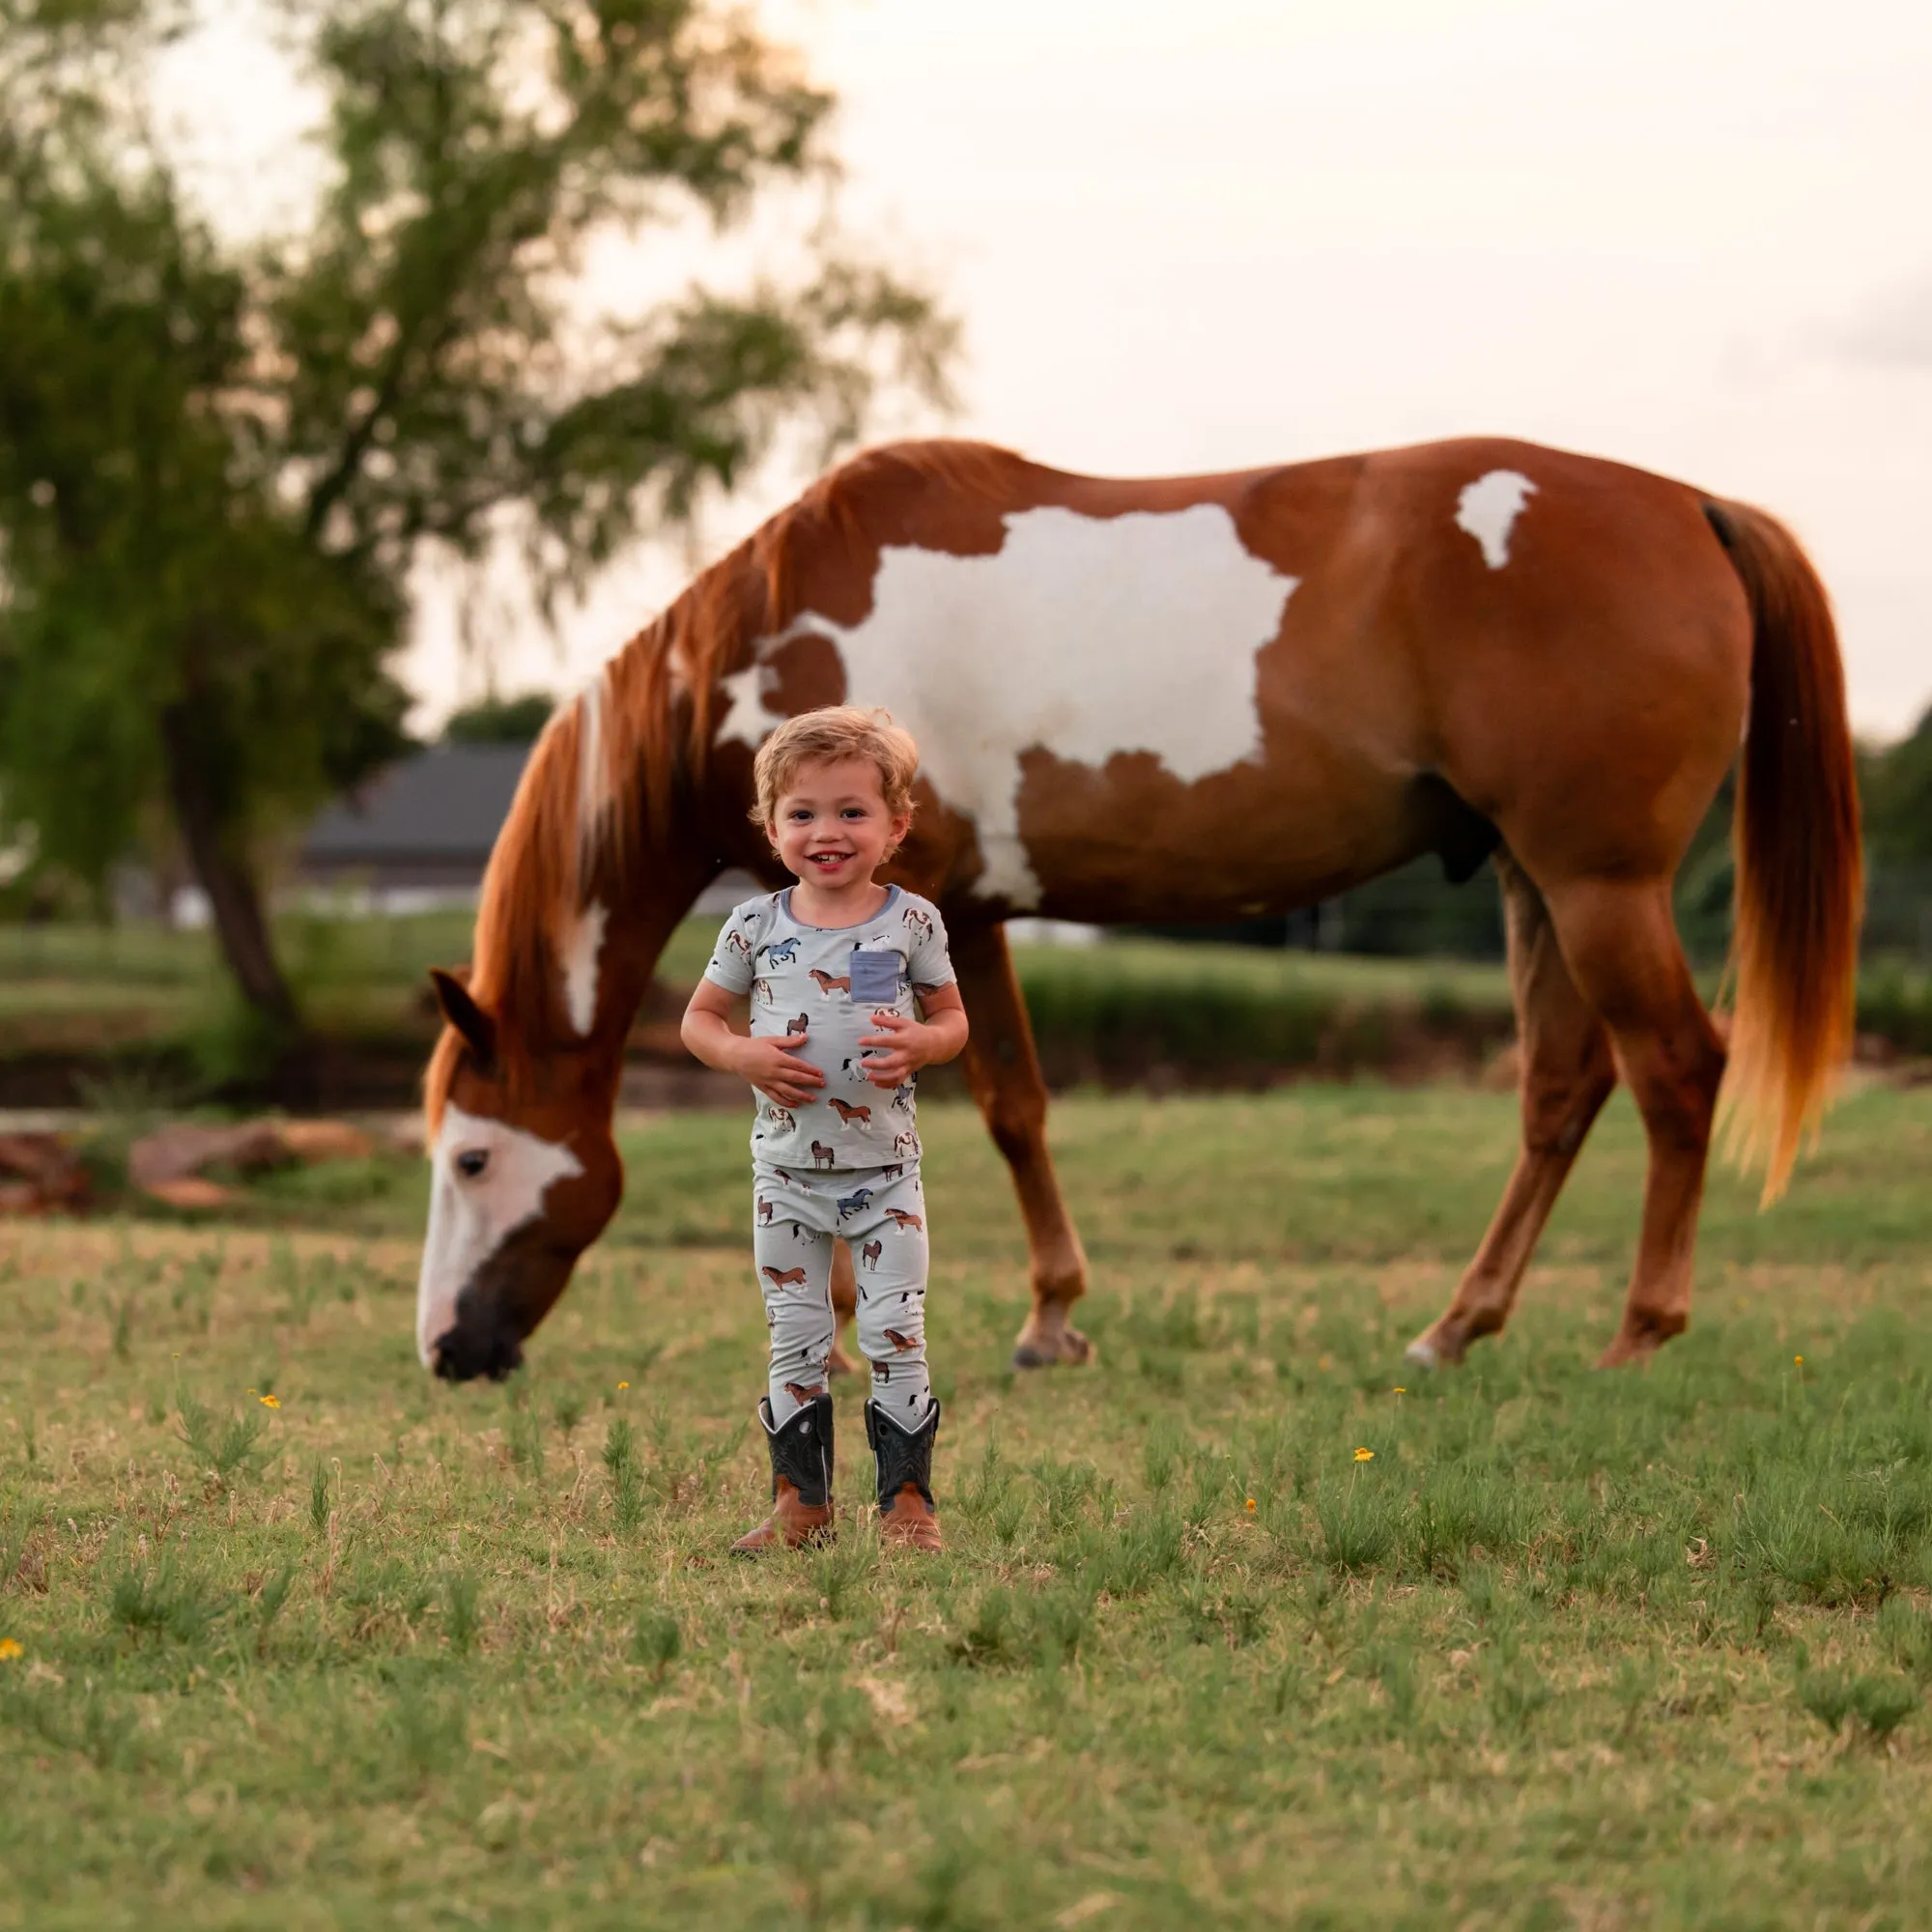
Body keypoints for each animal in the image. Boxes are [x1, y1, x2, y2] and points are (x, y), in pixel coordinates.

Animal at [415, 439, 1862, 1383]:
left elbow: (993, 1107)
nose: (445, 1351)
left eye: (470, 1159)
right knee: (1562, 1091)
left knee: (1676, 1071)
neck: (780, 635)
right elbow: (998, 1103)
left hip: (1597, 884)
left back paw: (1640, 1332)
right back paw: (1456, 1327)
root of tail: (1691, 503)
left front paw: (1017, 1321)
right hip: (1532, 879)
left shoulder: (942, 905)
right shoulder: (974, 914)